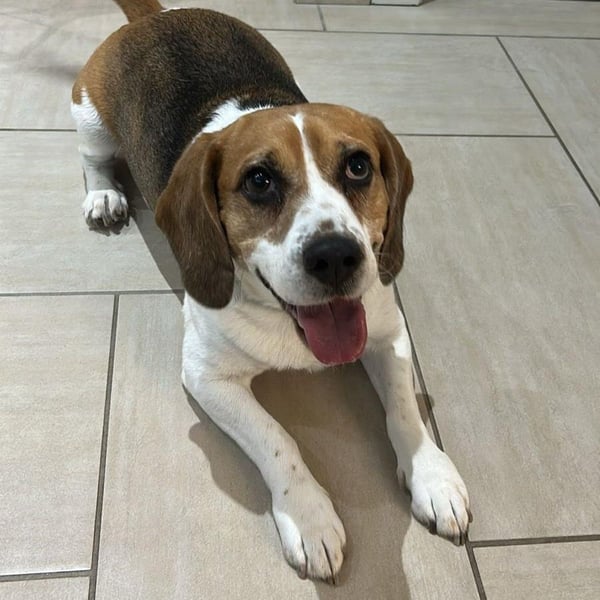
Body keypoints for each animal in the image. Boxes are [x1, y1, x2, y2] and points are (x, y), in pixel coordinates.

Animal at [71, 0, 471, 583]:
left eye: (358, 166)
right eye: (259, 181)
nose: (335, 255)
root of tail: (156, 16)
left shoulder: (389, 335)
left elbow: (403, 409)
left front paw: (432, 476)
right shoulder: (206, 376)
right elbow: (276, 439)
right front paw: (308, 516)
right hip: (90, 119)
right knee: (94, 160)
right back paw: (104, 194)